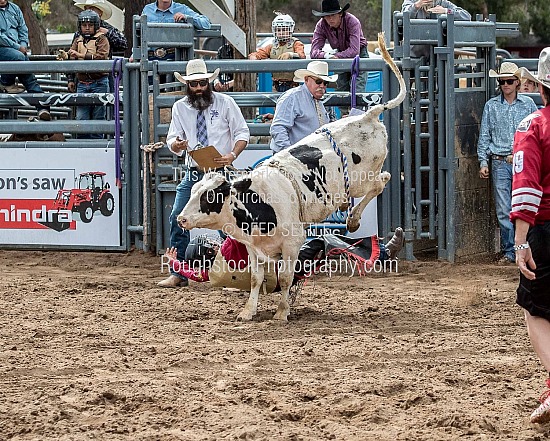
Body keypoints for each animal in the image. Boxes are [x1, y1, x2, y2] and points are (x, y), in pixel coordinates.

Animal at [179, 33, 408, 320]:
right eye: (193, 191)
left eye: (210, 196)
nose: (181, 218)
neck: (257, 201)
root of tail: (367, 115)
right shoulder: (254, 248)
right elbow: (256, 278)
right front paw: (248, 311)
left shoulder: (292, 243)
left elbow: (287, 277)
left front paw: (281, 312)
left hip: (361, 180)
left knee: (381, 180)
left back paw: (354, 219)